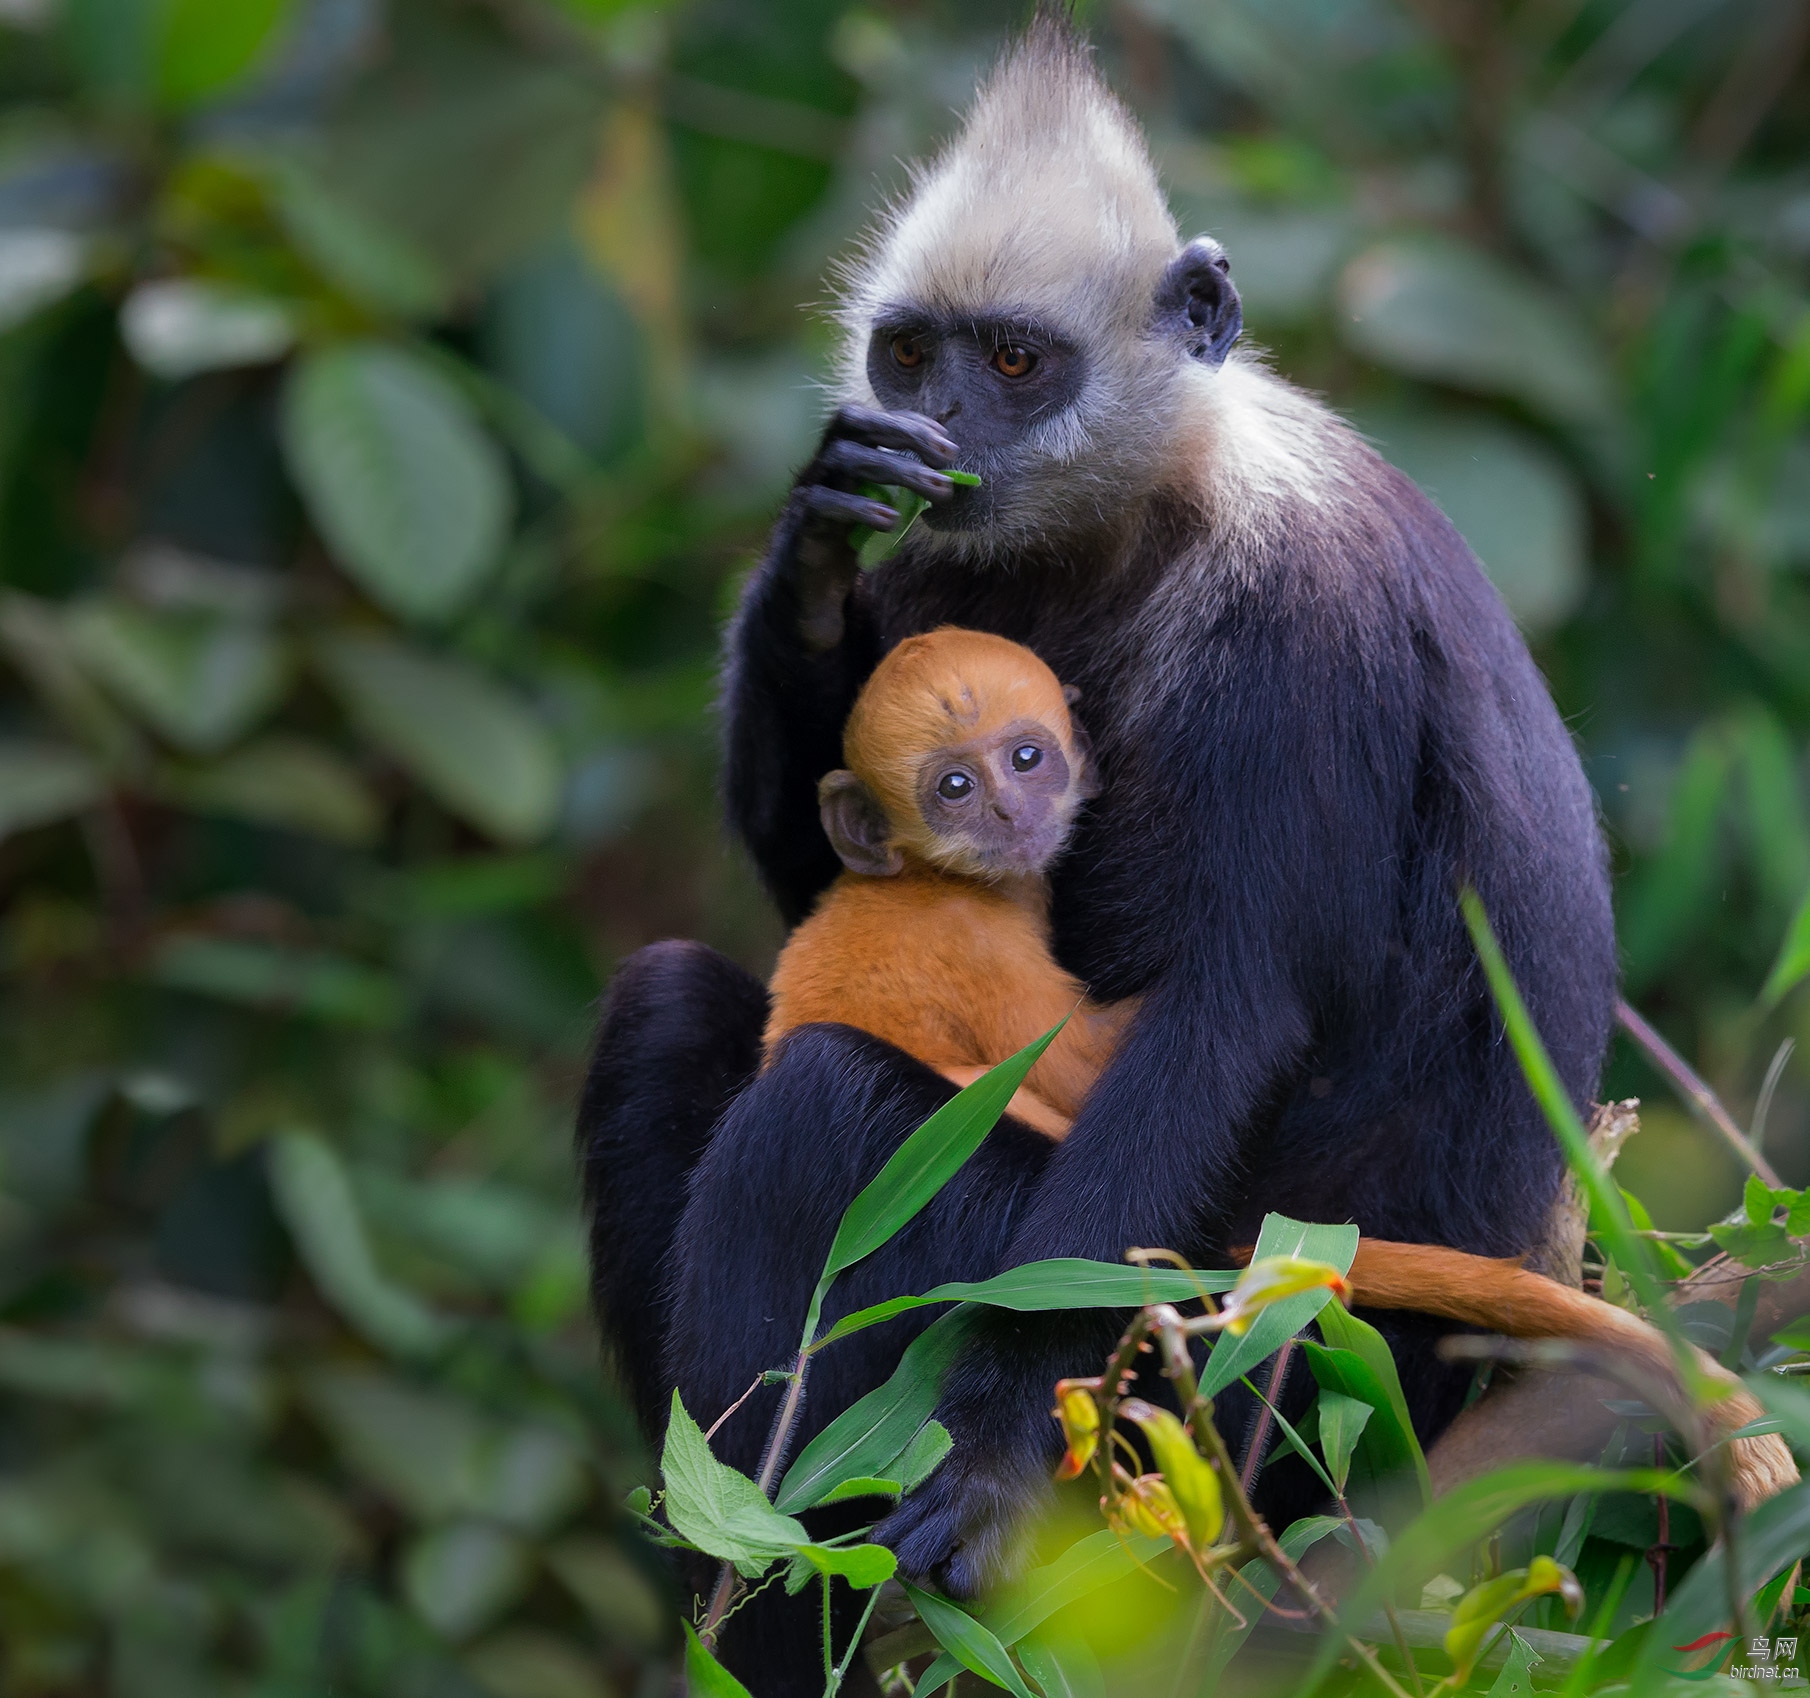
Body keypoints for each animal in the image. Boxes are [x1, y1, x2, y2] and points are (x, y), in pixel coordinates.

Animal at [586, 13, 1636, 1679]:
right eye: (910, 358)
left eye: (1014, 361)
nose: (945, 427)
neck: (1143, 514)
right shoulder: (945, 575)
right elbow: (822, 882)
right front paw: (814, 545)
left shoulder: (1296, 633)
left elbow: (1228, 1004)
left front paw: (996, 1465)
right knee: (670, 997)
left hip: (1259, 1366)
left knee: (826, 1100)